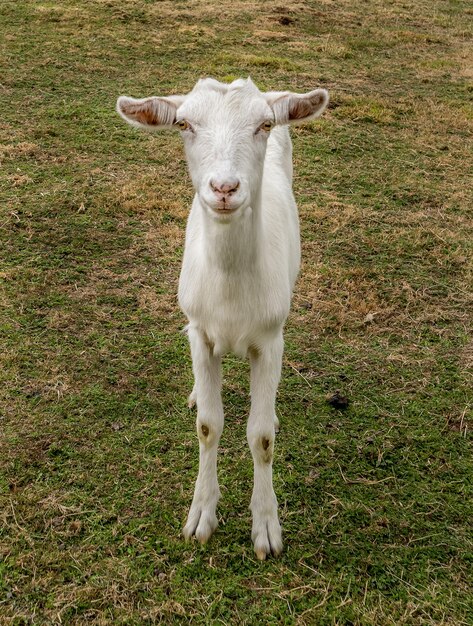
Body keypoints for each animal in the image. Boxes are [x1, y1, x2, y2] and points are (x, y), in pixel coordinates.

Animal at [116, 75, 326, 560]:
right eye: (184, 124)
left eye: (264, 125)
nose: (225, 188)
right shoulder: (199, 331)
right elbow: (209, 425)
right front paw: (200, 519)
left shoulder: (270, 338)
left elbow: (261, 436)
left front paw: (266, 529)